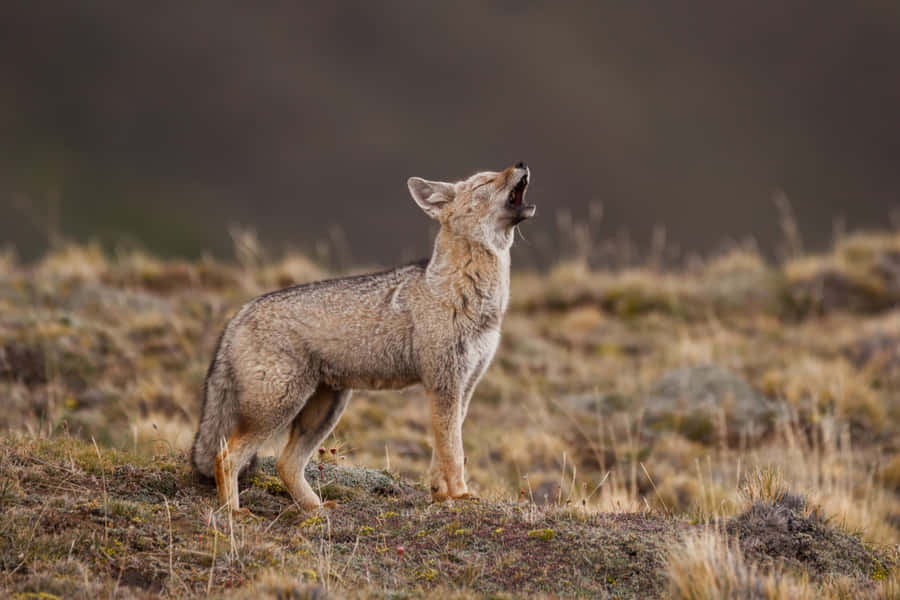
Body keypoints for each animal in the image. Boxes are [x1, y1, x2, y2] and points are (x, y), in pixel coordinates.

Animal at [191, 163, 536, 512]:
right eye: (485, 181)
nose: (521, 164)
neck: (469, 296)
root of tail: (240, 313)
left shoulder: (464, 387)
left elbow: (445, 452)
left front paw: (441, 495)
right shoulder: (444, 386)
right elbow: (453, 453)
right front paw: (460, 495)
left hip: (326, 411)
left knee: (285, 464)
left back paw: (316, 510)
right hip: (277, 409)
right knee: (226, 457)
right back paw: (234, 513)